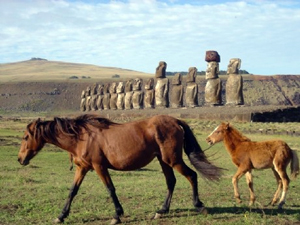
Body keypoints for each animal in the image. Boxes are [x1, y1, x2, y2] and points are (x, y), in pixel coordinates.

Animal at [17, 115, 221, 224]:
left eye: (26, 137)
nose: (20, 159)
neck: (81, 137)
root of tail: (175, 120)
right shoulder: (82, 168)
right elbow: (73, 191)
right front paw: (61, 216)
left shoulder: (99, 166)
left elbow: (110, 189)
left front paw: (117, 215)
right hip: (164, 161)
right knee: (171, 182)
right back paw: (161, 210)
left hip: (173, 160)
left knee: (192, 176)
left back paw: (199, 205)